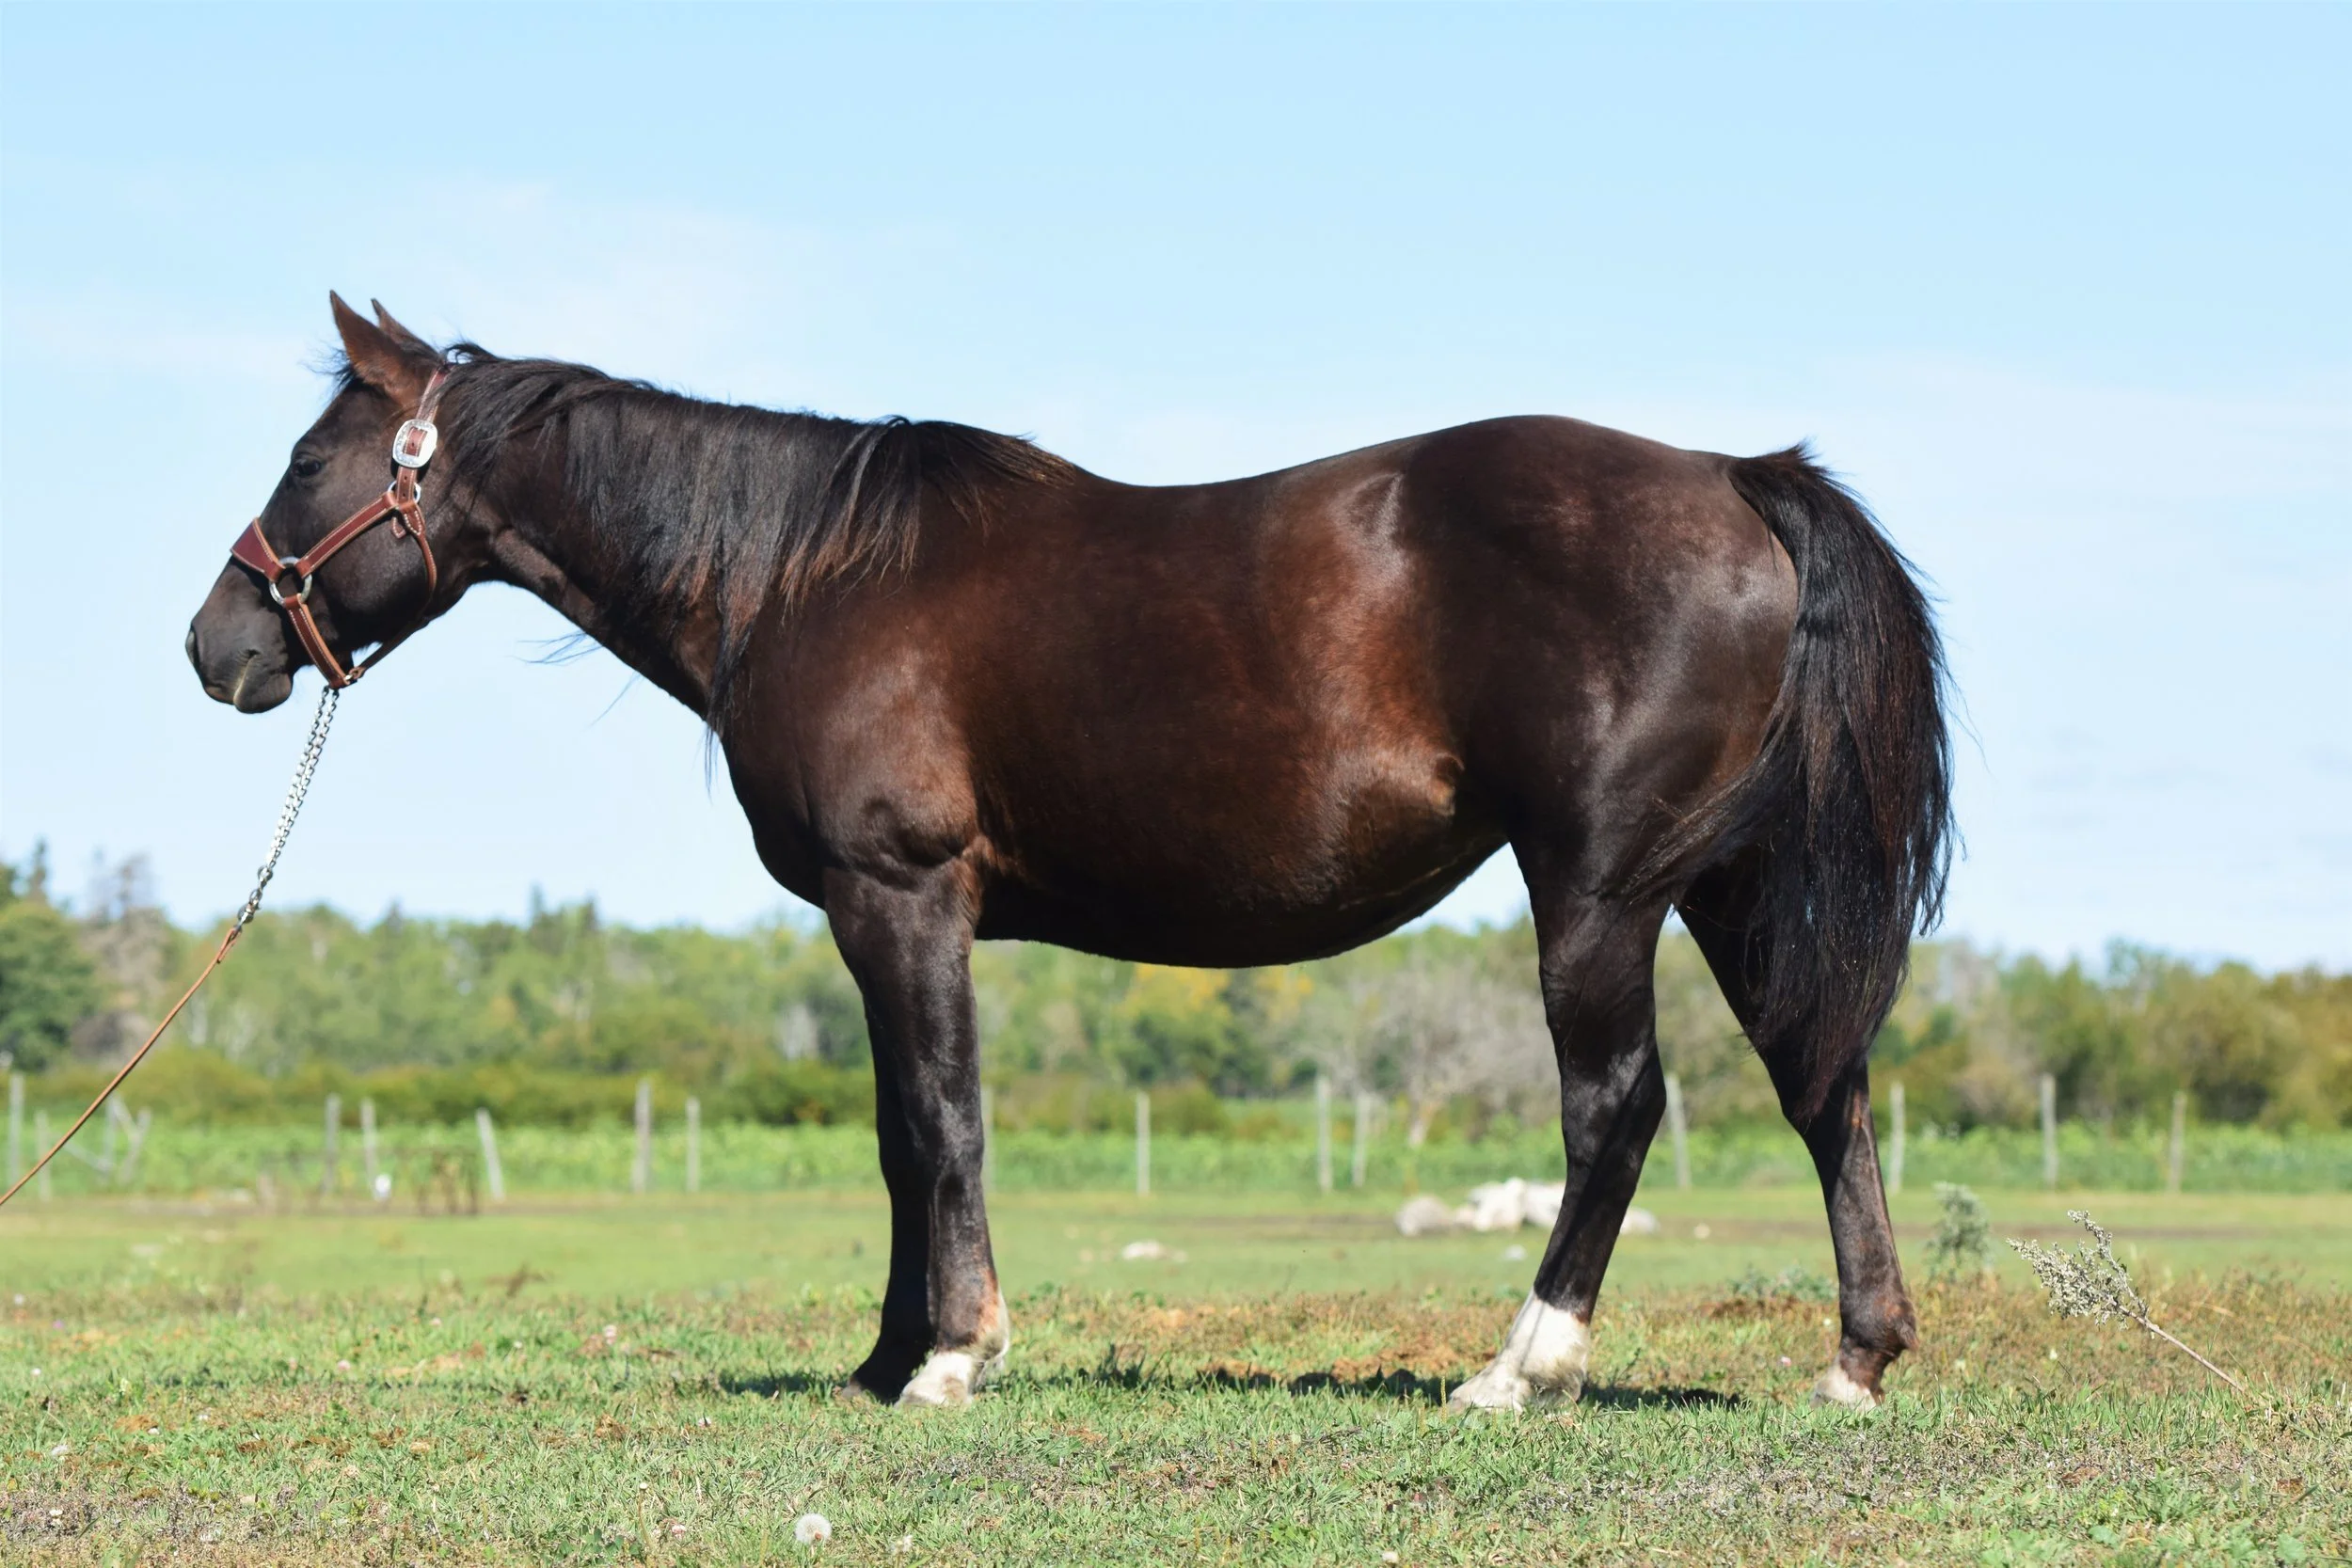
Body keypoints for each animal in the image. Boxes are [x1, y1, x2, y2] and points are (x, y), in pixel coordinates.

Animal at [188, 295, 1951, 1410]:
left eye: (304, 464)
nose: (217, 646)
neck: (808, 573)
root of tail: (1736, 479)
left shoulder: (902, 899)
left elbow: (944, 1122)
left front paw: (952, 1355)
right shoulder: (879, 921)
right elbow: (899, 1137)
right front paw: (884, 1354)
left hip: (1596, 886)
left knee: (1617, 1108)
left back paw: (1519, 1366)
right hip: (1719, 886)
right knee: (1824, 1085)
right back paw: (1853, 1360)